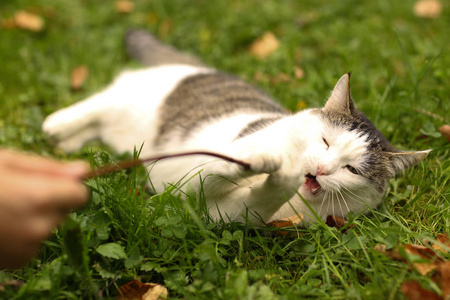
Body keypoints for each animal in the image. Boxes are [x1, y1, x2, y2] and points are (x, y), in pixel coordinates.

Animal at [41, 29, 428, 225]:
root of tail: (200, 67)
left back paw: (71, 144)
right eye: (325, 141)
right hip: (132, 97)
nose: (320, 168)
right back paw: (57, 126)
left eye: (351, 170)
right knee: (102, 100)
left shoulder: (226, 215)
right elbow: (220, 167)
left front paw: (280, 176)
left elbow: (264, 195)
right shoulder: (194, 176)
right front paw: (262, 161)